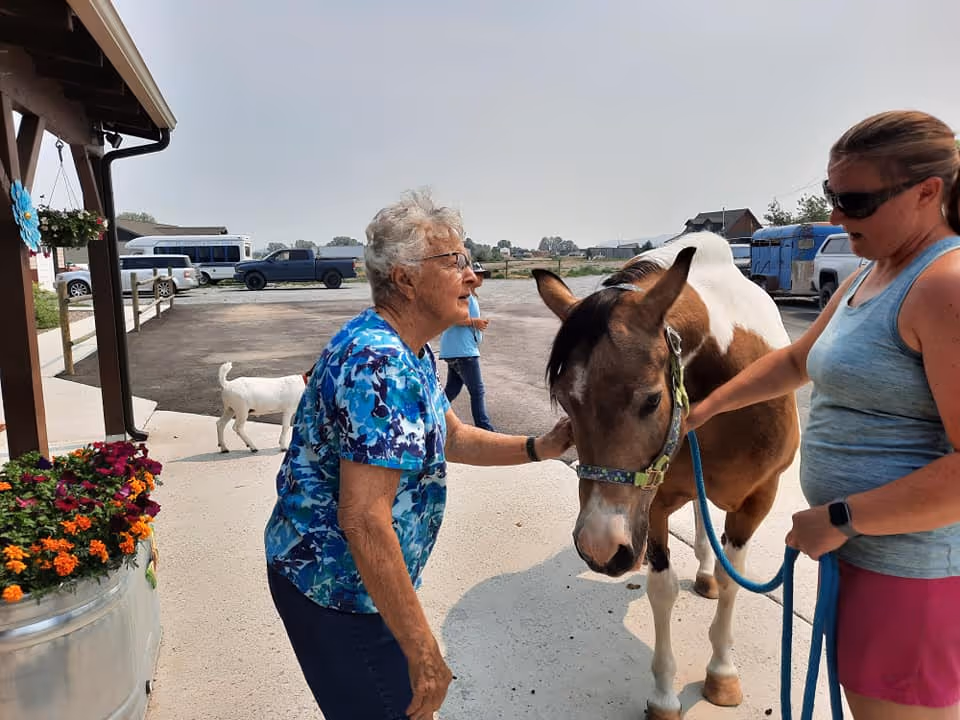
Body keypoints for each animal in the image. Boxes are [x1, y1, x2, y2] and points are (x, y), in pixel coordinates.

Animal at [533, 232, 800, 719]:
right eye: (564, 399)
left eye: (652, 399)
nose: (600, 547)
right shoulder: (651, 507)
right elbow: (663, 588)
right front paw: (663, 694)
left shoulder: (759, 498)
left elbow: (734, 579)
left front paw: (722, 673)